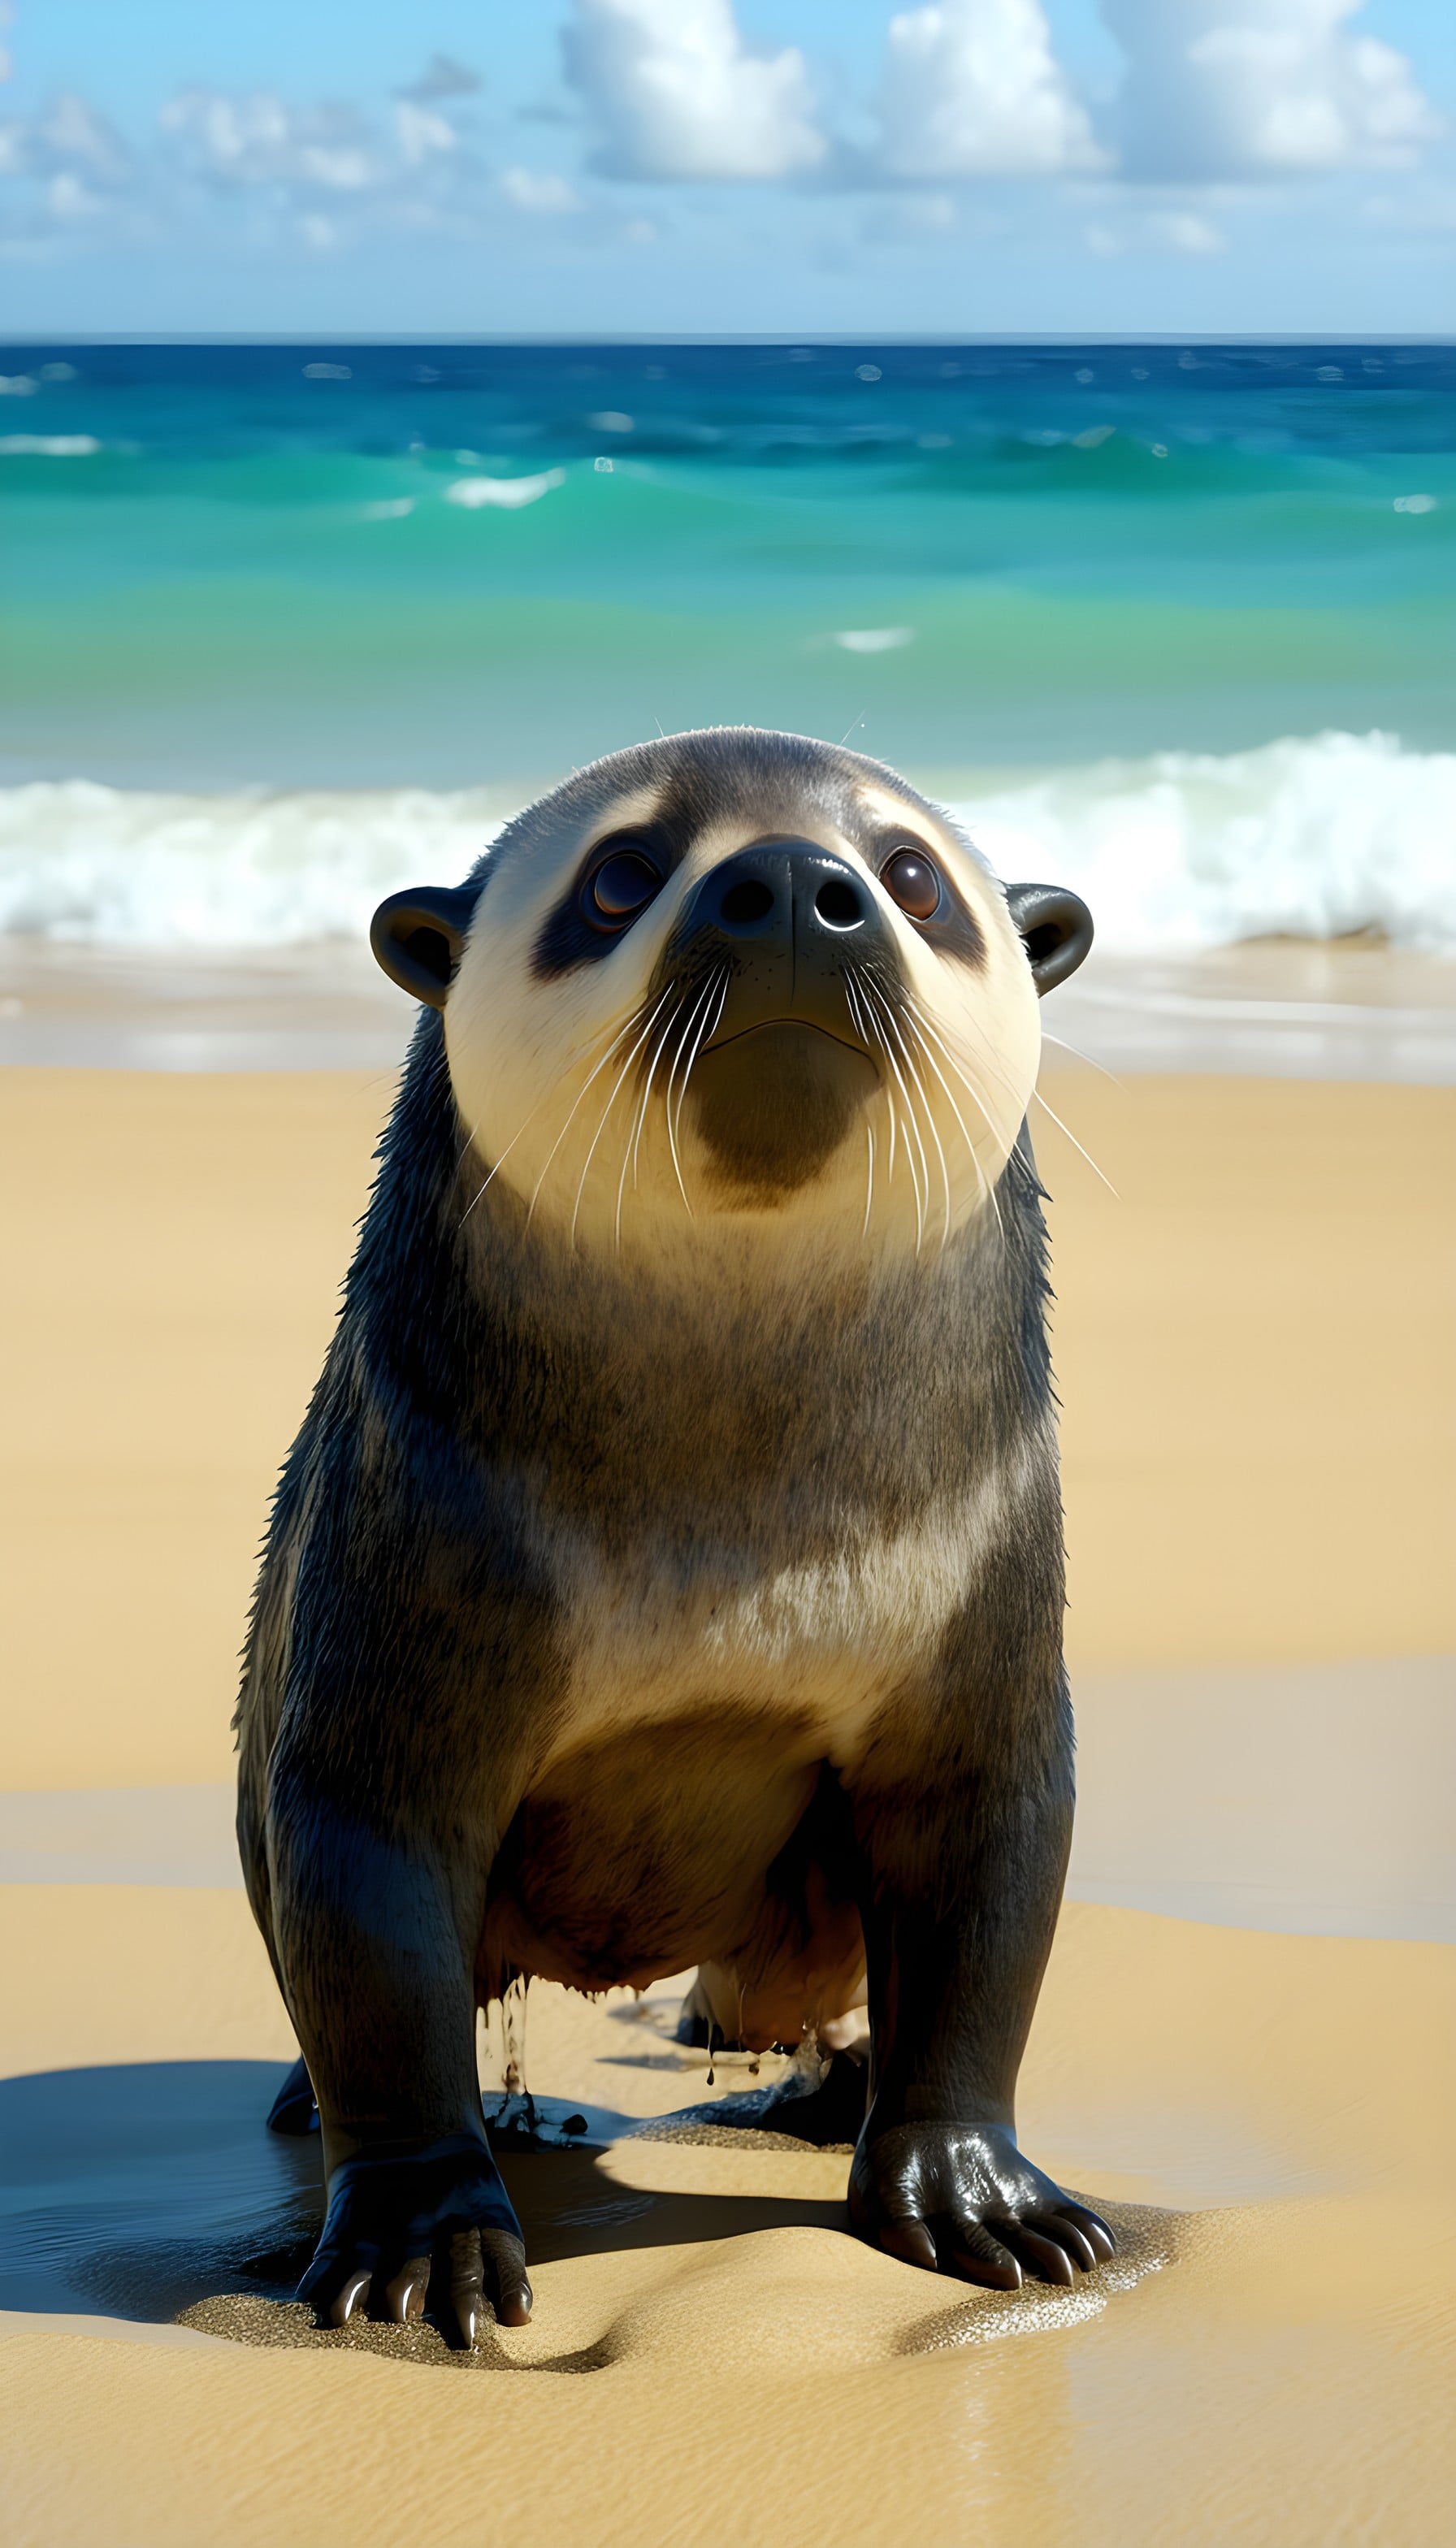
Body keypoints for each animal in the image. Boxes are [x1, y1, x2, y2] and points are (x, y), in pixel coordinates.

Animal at [236, 726, 1111, 2343]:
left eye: (910, 874)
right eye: (620, 875)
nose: (793, 883)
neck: (728, 1556)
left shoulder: (988, 1664)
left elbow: (986, 1926)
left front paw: (976, 2197)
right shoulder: (384, 1647)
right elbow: (370, 1958)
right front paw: (422, 2237)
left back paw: (820, 2095)